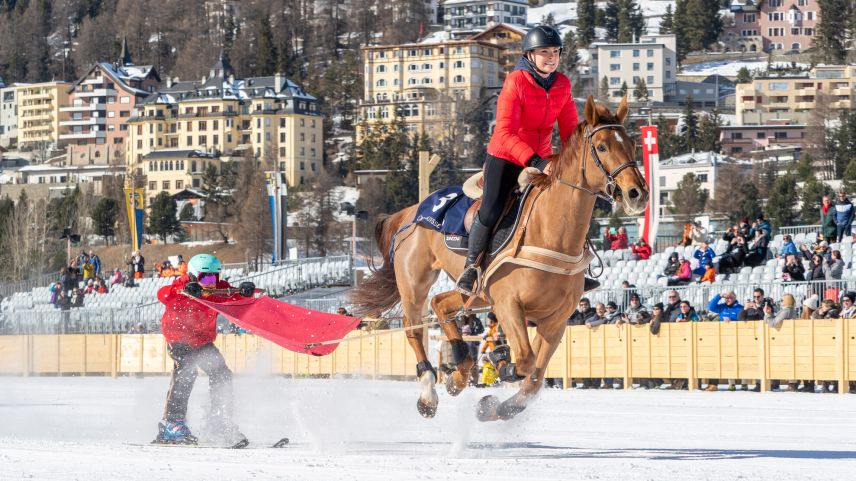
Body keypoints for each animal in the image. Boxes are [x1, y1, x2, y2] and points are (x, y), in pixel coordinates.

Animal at [348, 96, 648, 420]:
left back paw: (459, 372)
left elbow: (535, 378)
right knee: (413, 325)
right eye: (602, 147)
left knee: (440, 304)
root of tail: (412, 211)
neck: (550, 232)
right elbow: (526, 361)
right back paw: (429, 391)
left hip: (476, 294)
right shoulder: (508, 305)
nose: (637, 193)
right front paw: (501, 360)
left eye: (633, 143)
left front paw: (493, 407)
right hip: (416, 281)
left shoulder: (556, 320)